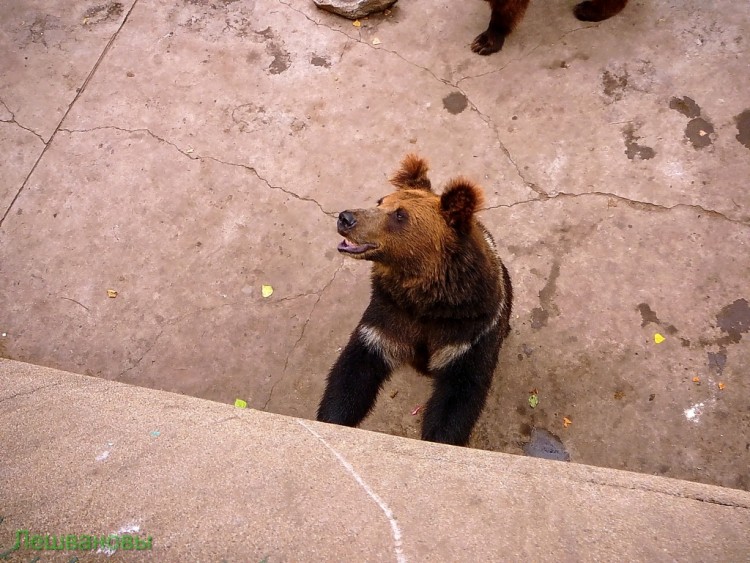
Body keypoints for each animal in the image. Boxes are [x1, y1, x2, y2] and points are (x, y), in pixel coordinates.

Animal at [314, 154, 516, 446]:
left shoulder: (469, 335)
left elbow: (456, 402)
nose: (346, 218)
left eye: (400, 215)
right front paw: (332, 420)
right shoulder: (387, 318)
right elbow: (351, 378)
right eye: (380, 201)